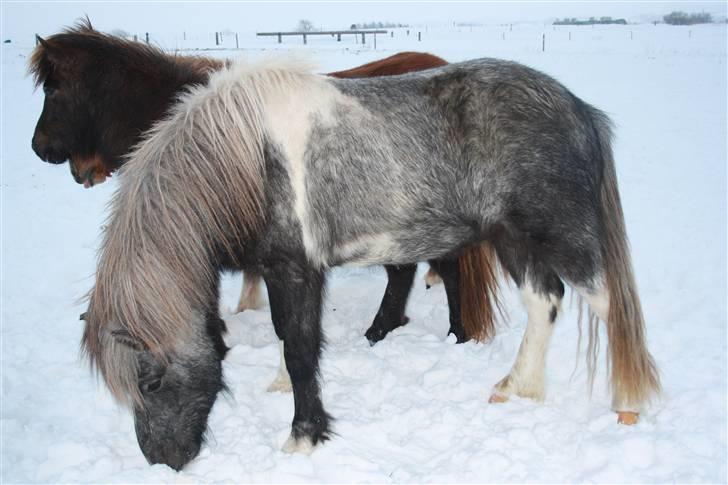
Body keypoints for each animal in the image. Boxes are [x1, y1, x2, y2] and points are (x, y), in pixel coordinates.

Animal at [84, 56, 660, 468]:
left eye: (150, 384)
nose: (164, 461)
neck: (244, 159)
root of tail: (580, 110)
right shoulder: (282, 270)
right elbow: (290, 336)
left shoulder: (295, 267)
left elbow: (299, 348)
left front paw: (304, 437)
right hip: (512, 239)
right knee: (545, 302)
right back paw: (516, 388)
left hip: (564, 240)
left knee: (613, 309)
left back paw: (627, 406)